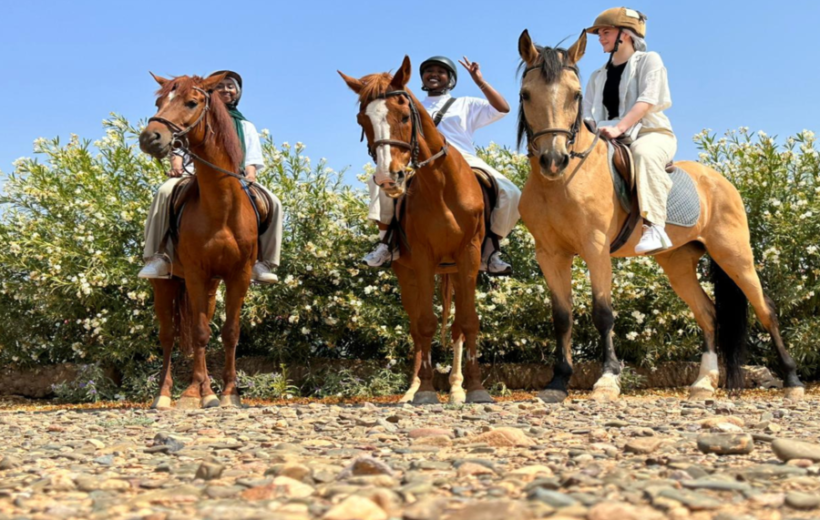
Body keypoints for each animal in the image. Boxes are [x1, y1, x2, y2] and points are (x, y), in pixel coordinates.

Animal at [339, 56, 492, 404]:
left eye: (405, 116)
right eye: (362, 120)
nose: (388, 178)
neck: (441, 184)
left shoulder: (469, 254)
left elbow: (468, 320)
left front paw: (475, 388)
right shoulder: (422, 258)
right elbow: (424, 323)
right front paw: (424, 390)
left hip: (454, 269)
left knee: (456, 327)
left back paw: (456, 387)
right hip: (407, 272)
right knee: (415, 326)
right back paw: (413, 388)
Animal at [516, 30, 804, 402]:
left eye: (575, 95)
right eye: (525, 94)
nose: (554, 160)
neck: (561, 183)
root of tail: (721, 181)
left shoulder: (595, 248)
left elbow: (603, 313)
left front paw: (608, 378)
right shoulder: (550, 254)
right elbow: (562, 316)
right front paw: (558, 382)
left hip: (734, 254)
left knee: (764, 308)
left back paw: (792, 379)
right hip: (677, 262)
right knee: (707, 313)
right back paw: (703, 382)